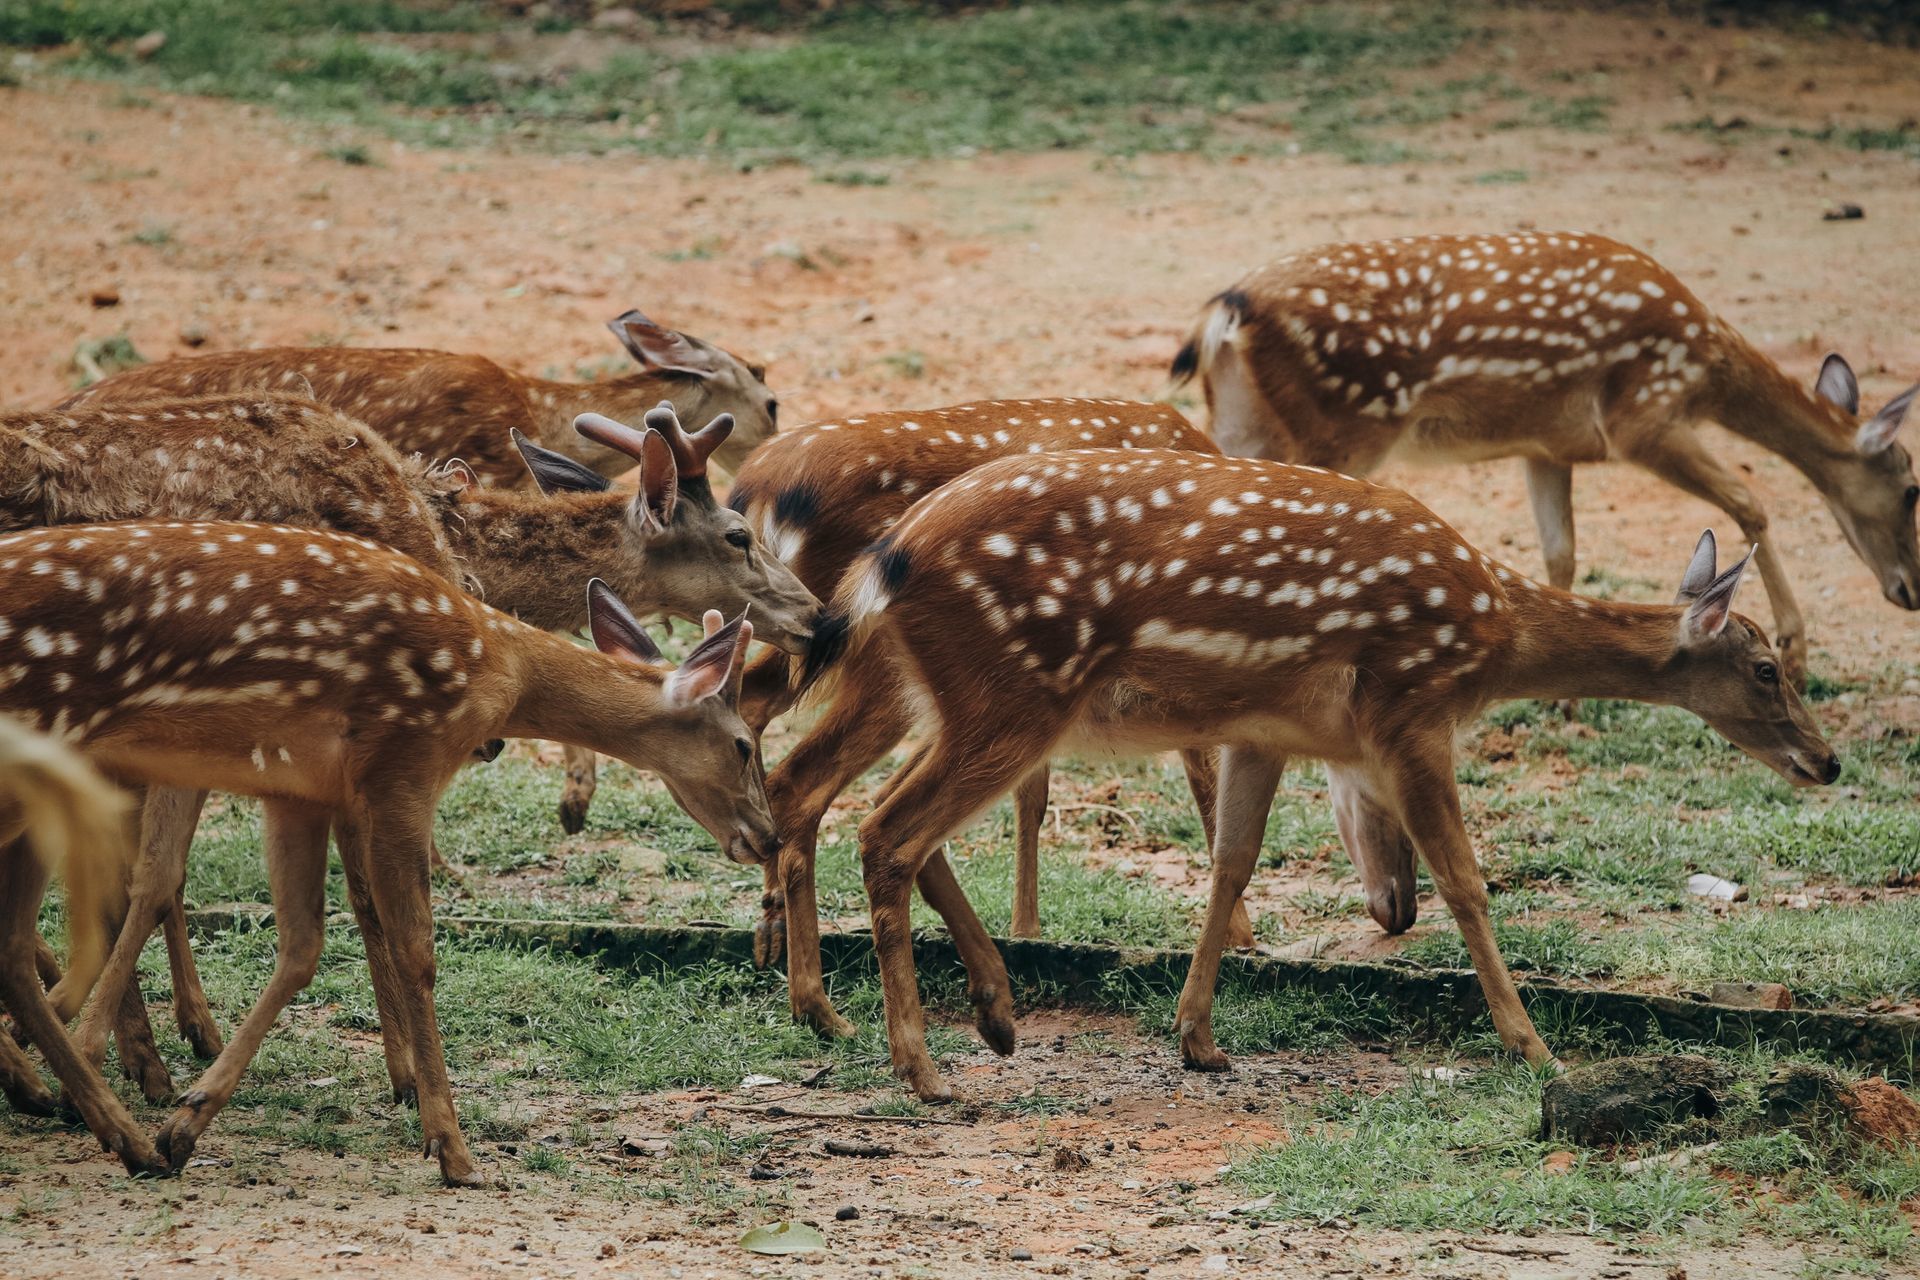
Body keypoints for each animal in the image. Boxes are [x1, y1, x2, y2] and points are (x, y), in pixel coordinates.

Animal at [724, 397, 1251, 1032]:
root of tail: (755, 489)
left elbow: (1035, 792)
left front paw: (1027, 931)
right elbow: (1205, 785)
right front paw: (1245, 939)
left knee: (752, 706)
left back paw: (777, 943)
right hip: (875, 659)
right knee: (800, 772)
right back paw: (817, 1001)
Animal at [795, 447, 1838, 1100]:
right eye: (1766, 668)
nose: (1827, 761)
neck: (1496, 635)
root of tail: (887, 558)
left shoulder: (1267, 730)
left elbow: (1231, 863)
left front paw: (1200, 1041)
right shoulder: (1410, 710)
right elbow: (1467, 881)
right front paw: (1535, 1047)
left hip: (960, 700)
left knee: (876, 814)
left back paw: (994, 1018)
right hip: (1015, 691)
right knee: (886, 829)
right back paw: (924, 1068)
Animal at [1169, 231, 1919, 690]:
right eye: (1914, 487)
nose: (1910, 590)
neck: (1707, 367)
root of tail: (1220, 316)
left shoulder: (1546, 445)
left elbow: (1561, 553)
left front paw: (1563, 699)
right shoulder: (1641, 417)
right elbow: (1750, 502)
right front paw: (1797, 653)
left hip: (1243, 422)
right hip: (1343, 426)